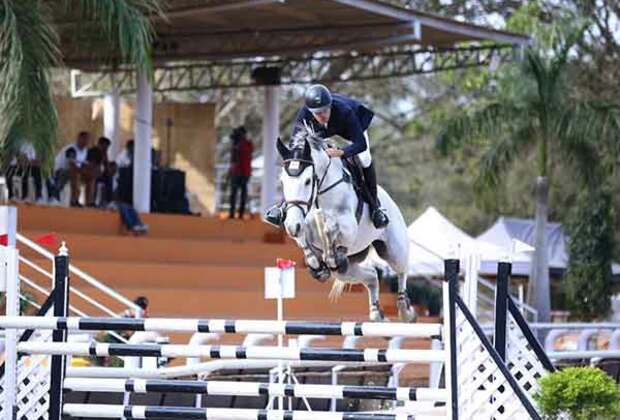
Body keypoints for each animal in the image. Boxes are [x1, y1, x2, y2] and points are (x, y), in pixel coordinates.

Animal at [274, 130, 412, 320]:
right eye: (282, 181)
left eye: (308, 181)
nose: (292, 224)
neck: (319, 194)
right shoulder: (301, 221)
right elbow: (303, 237)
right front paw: (317, 265)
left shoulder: (348, 228)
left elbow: (329, 227)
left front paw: (330, 253)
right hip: (346, 269)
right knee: (371, 275)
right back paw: (376, 313)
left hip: (393, 250)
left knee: (402, 270)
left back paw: (405, 310)